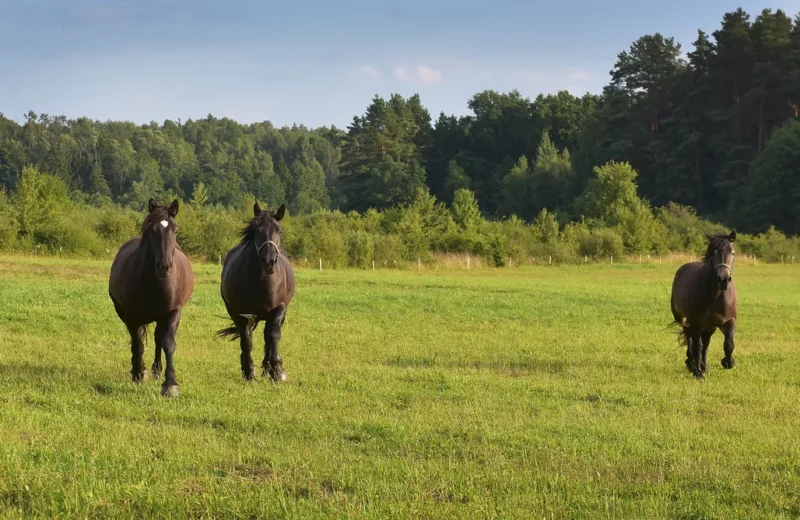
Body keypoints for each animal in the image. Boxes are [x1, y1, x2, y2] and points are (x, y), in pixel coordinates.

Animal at [108, 197, 195, 396]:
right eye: (152, 230)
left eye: (175, 230)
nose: (164, 266)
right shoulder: (132, 317)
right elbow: (137, 343)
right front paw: (139, 373)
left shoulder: (173, 312)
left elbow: (168, 343)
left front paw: (170, 384)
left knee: (158, 338)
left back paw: (156, 369)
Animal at [217, 203, 296, 382]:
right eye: (257, 231)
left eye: (279, 231)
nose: (269, 261)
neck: (260, 282)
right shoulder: (240, 313)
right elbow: (247, 340)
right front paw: (249, 371)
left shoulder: (279, 309)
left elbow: (273, 336)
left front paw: (277, 371)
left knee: (269, 336)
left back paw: (269, 367)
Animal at [668, 231, 736, 378]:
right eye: (713, 253)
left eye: (732, 253)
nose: (723, 279)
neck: (716, 296)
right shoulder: (696, 323)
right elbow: (696, 346)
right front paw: (697, 373)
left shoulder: (729, 321)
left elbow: (728, 344)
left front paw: (728, 362)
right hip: (684, 319)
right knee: (689, 338)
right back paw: (692, 363)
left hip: (710, 326)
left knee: (706, 342)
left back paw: (704, 366)